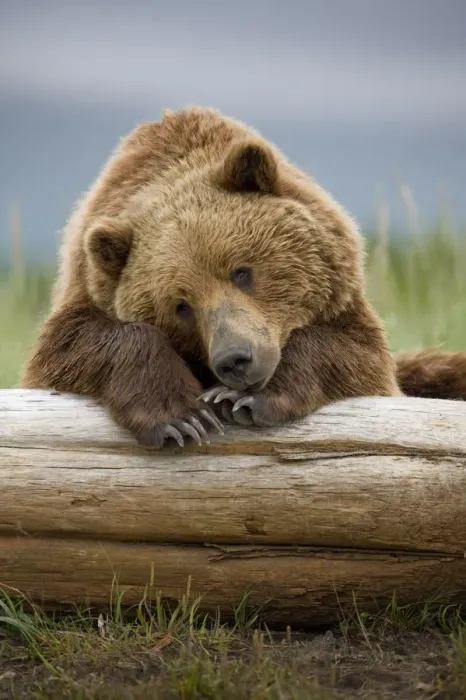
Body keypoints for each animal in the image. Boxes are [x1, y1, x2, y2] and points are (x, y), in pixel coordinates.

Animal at [20, 106, 466, 448]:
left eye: (241, 271)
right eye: (181, 305)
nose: (235, 359)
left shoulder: (345, 307)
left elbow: (355, 355)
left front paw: (245, 399)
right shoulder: (87, 285)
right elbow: (69, 348)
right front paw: (182, 417)